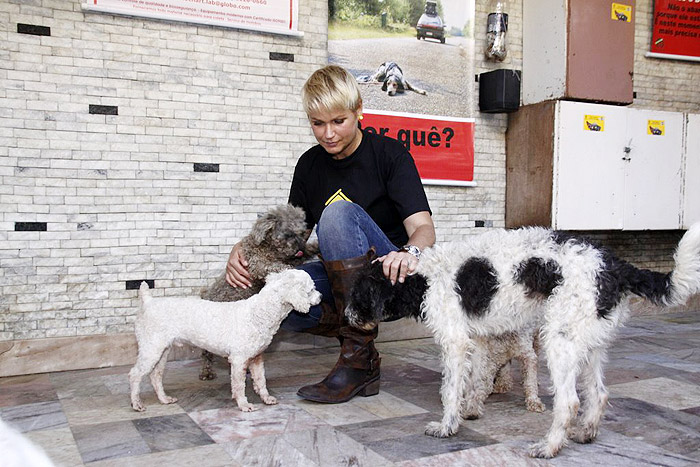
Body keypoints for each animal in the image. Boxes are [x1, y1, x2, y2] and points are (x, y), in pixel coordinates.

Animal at [130, 270, 322, 414]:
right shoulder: (238, 360)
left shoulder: (257, 357)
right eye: (311, 289)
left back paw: (164, 399)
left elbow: (261, 380)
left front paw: (266, 398)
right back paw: (136, 404)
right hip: (151, 348)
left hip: (162, 351)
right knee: (135, 375)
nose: (321, 297)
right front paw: (244, 405)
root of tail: (148, 301)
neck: (259, 313)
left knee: (155, 375)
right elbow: (238, 385)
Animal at [197, 205, 318, 380]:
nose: (300, 247)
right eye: (288, 234)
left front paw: (314, 246)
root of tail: (205, 296)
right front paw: (289, 270)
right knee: (206, 353)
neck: (268, 247)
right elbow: (276, 266)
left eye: (302, 233)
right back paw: (206, 372)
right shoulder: (257, 264)